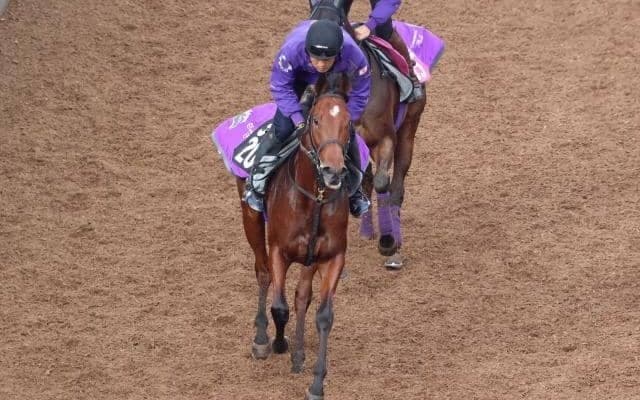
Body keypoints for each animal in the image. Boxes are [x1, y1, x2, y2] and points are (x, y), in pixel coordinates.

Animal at [236, 73, 354, 400]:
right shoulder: (280, 250)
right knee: (262, 272)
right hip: (251, 219)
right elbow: (280, 306)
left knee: (302, 296)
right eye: (315, 120)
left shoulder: (331, 257)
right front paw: (277, 342)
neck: (313, 199)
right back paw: (262, 338)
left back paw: (299, 353)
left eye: (349, 123)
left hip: (310, 259)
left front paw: (316, 382)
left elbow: (322, 314)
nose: (333, 170)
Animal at [310, 0, 428, 268]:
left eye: (336, 25)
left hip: (409, 127)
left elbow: (384, 181)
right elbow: (363, 180)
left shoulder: (385, 138)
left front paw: (388, 241)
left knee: (397, 182)